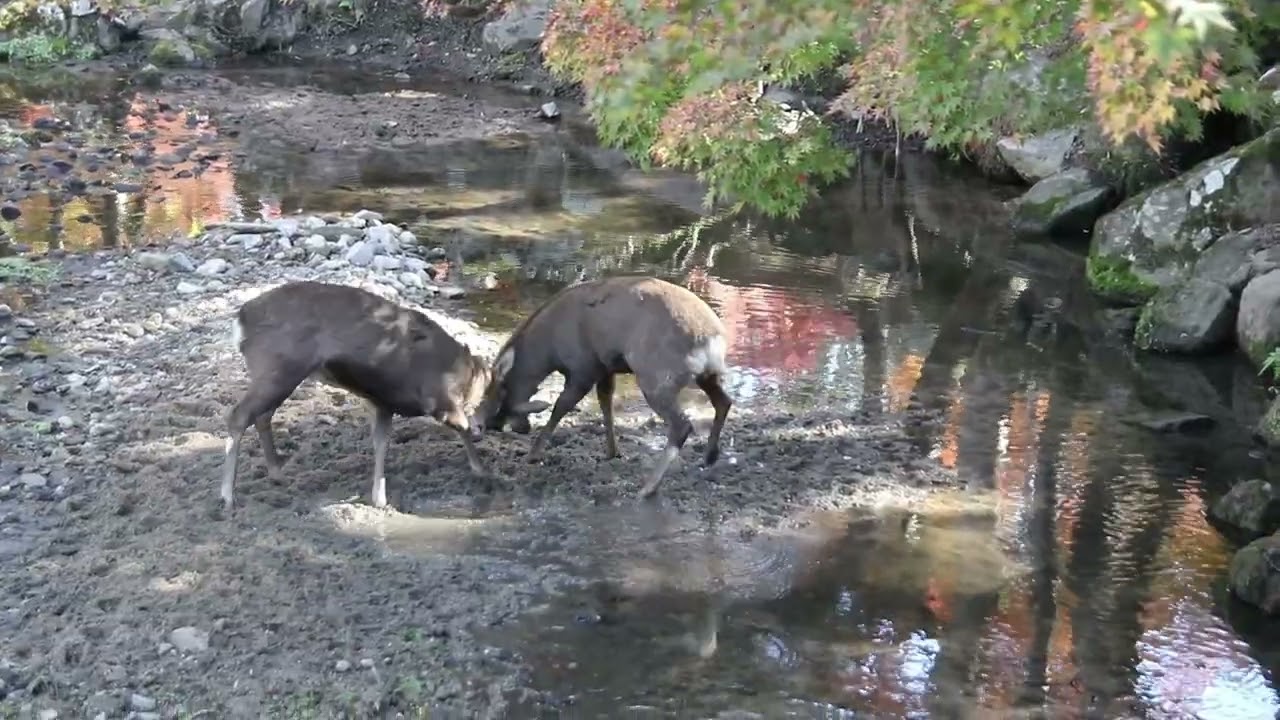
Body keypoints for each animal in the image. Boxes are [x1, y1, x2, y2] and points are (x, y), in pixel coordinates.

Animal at [220, 281, 492, 512]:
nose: (483, 426)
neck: (463, 374)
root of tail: (241, 321)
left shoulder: (381, 401)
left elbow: (381, 442)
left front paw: (379, 497)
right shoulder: (440, 401)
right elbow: (462, 428)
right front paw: (481, 471)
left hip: (275, 373)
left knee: (261, 416)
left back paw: (276, 473)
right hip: (279, 366)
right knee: (239, 415)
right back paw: (228, 495)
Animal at [477, 275, 733, 498]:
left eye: (489, 394)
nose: (486, 425)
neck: (549, 350)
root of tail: (712, 339)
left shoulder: (583, 368)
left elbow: (561, 407)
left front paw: (533, 455)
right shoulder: (605, 367)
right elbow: (605, 402)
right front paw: (612, 451)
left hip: (656, 377)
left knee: (682, 425)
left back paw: (648, 488)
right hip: (708, 375)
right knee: (724, 402)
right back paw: (709, 456)